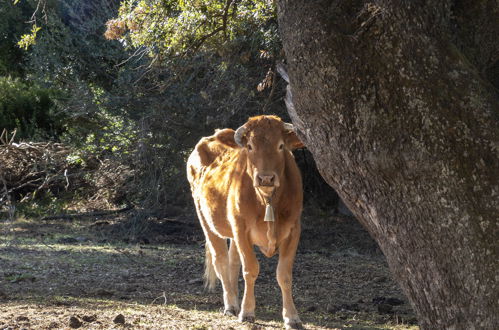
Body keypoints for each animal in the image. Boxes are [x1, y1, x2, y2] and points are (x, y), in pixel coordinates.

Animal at [188, 114, 304, 328]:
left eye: (281, 146)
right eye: (250, 146)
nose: (266, 178)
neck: (267, 201)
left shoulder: (293, 231)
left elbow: (284, 274)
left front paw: (291, 317)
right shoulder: (242, 230)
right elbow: (250, 269)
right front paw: (247, 312)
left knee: (233, 262)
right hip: (207, 221)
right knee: (221, 261)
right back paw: (231, 305)